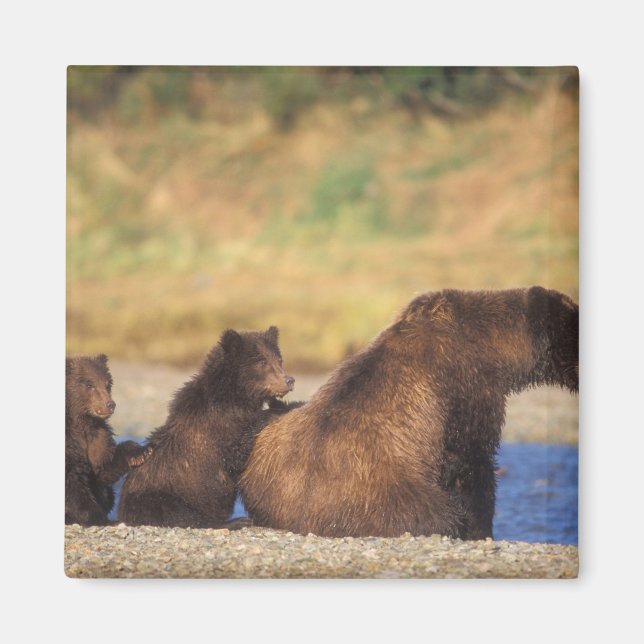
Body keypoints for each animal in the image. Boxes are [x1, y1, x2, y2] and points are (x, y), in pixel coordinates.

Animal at [65, 354, 150, 525]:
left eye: (108, 384)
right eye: (89, 384)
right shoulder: (69, 442)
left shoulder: (98, 438)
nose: (110, 404)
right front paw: (97, 516)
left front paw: (140, 452)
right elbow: (72, 483)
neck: (83, 422)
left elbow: (103, 468)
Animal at [117, 326, 295, 528]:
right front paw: (275, 411)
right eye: (262, 361)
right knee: (182, 514)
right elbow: (234, 451)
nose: (289, 380)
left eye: (279, 360)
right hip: (162, 494)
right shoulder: (216, 429)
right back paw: (237, 520)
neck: (235, 396)